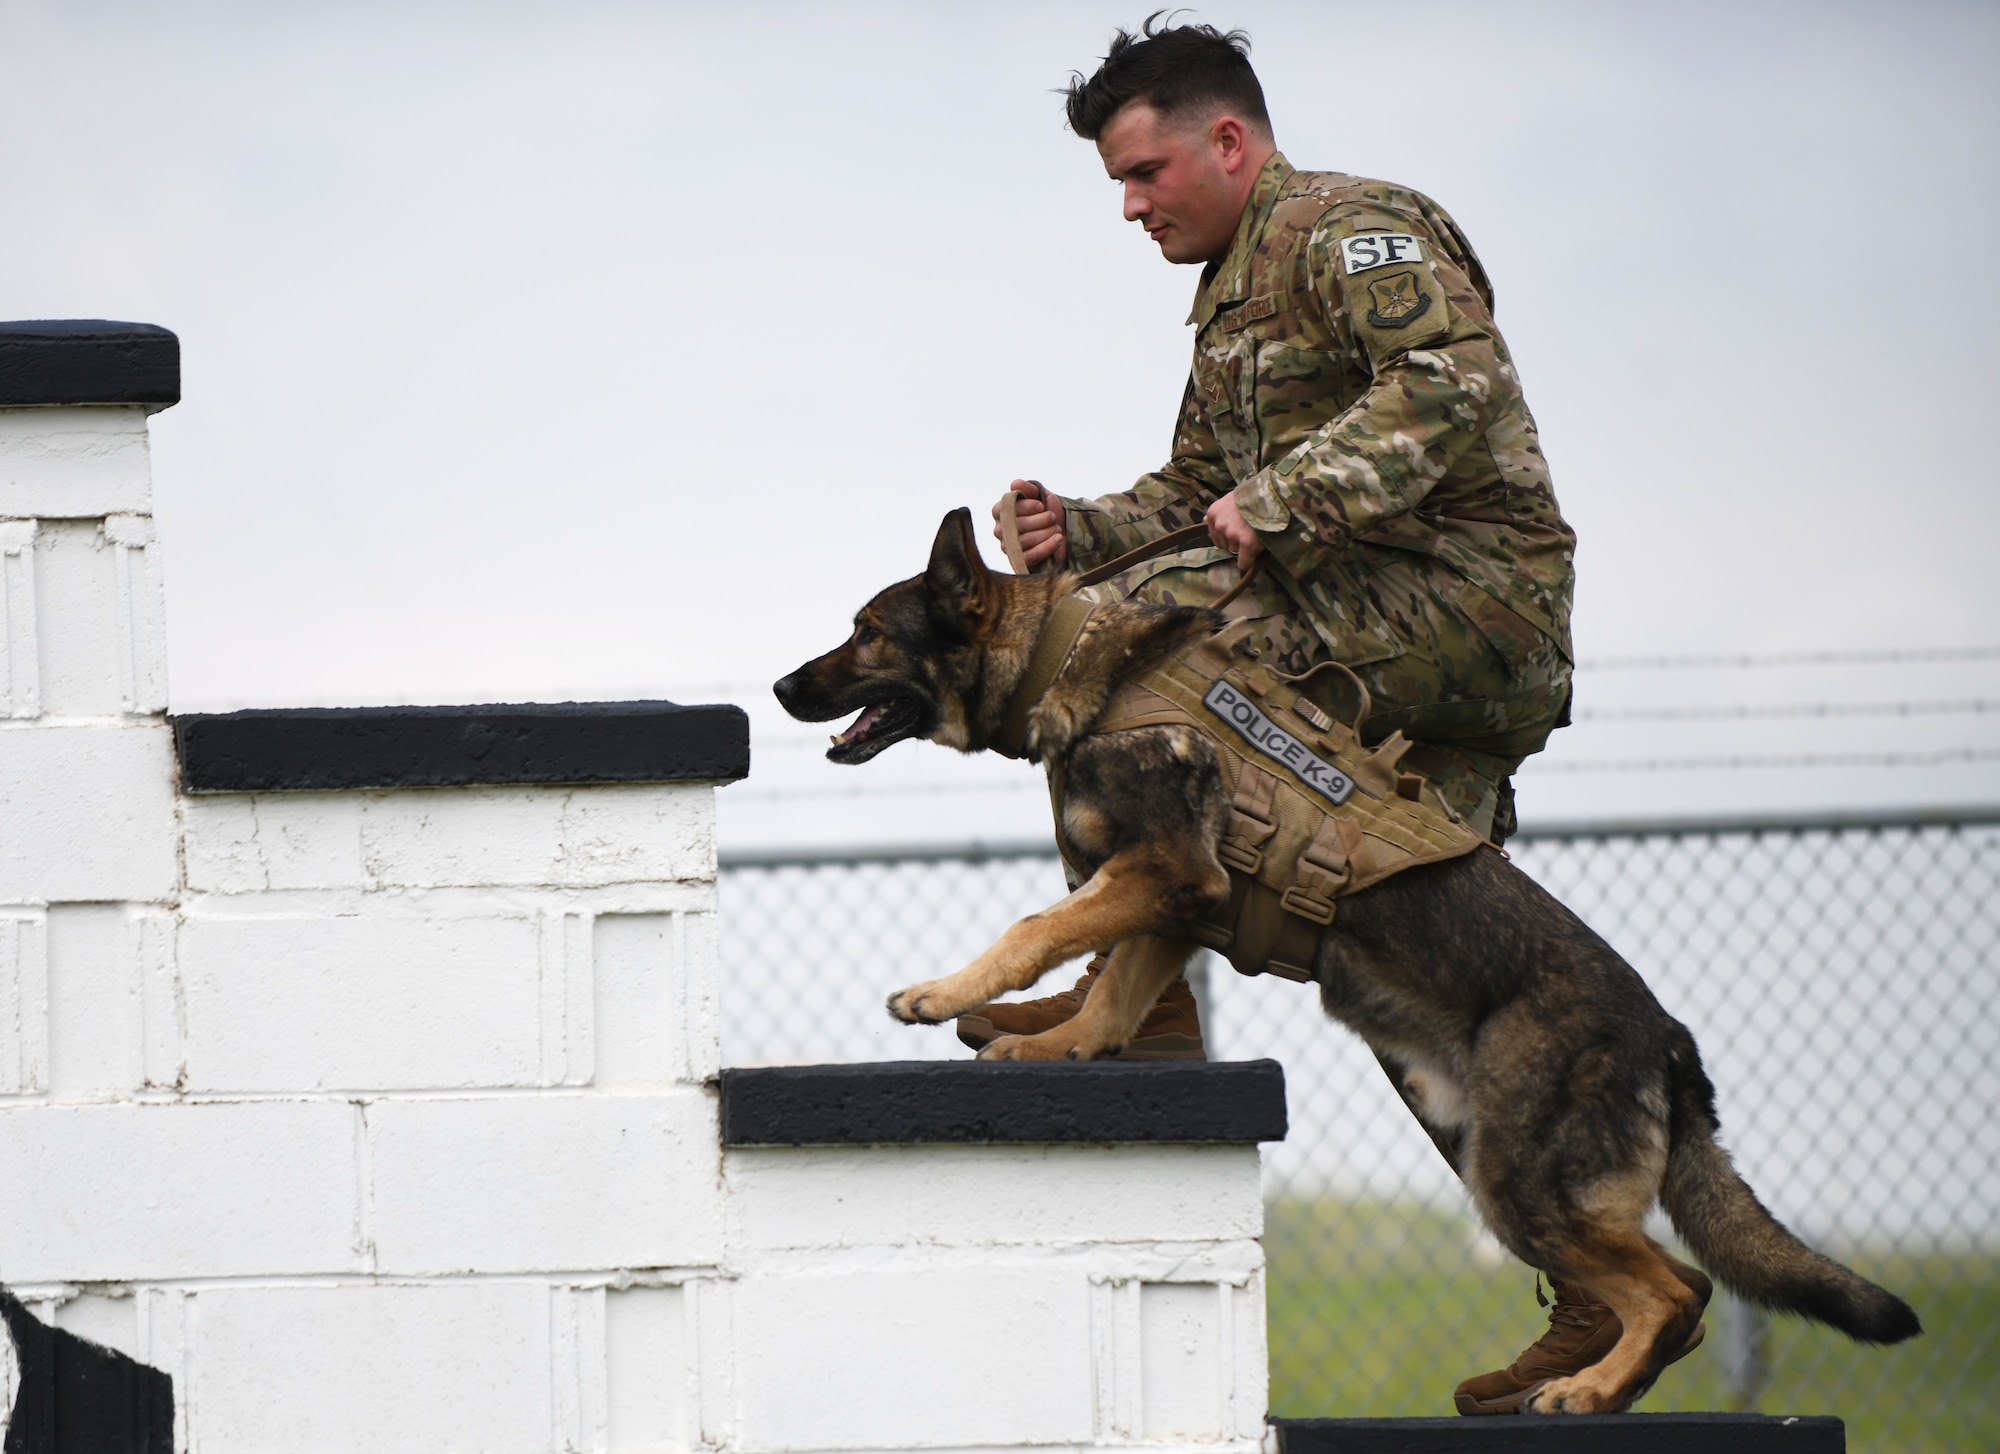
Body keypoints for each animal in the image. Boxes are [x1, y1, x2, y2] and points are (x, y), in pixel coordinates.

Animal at [776, 510, 1920, 1408]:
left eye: (866, 632)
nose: (783, 686)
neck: (1073, 657)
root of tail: (1670, 1044)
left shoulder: (1159, 873)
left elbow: (1038, 927)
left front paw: (942, 994)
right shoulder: (1176, 903)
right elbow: (1108, 1003)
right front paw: (1052, 1047)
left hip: (1518, 1173)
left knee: (1677, 1289)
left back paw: (1589, 1388)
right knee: (1675, 1288)